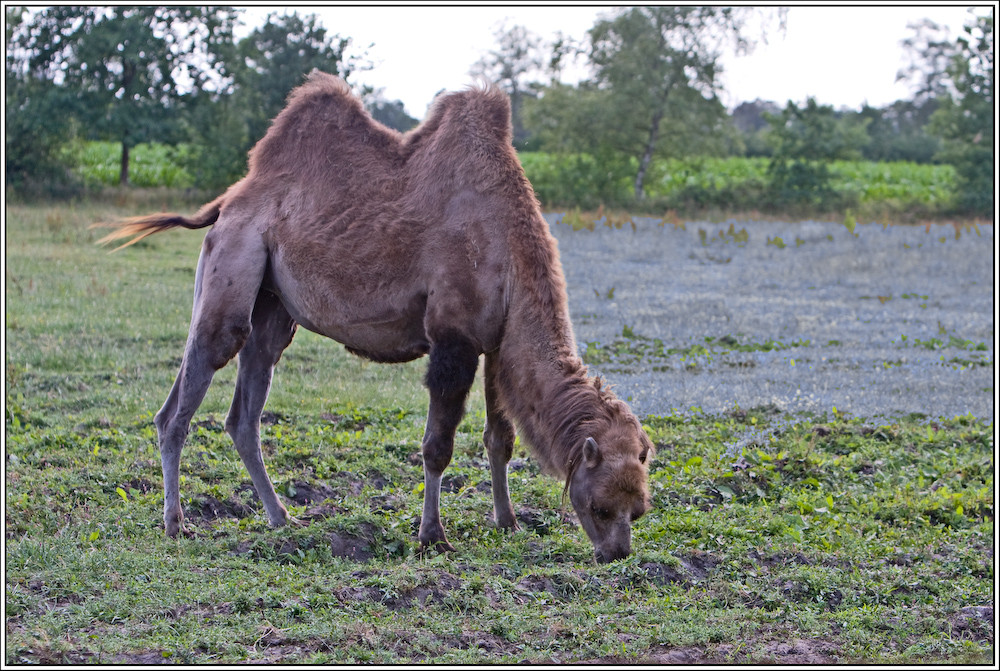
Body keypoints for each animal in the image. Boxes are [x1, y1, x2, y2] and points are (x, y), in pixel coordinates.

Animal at [97, 69, 652, 560]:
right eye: (601, 507)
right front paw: (432, 537)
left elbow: (501, 438)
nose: (616, 554)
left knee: (245, 410)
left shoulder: (497, 342)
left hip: (273, 305)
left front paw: (508, 522)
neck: (510, 246)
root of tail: (230, 199)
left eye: (639, 509)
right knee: (185, 397)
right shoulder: (452, 338)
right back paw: (176, 524)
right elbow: (437, 447)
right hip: (231, 262)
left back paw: (281, 517)